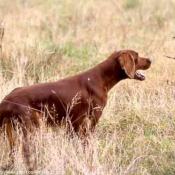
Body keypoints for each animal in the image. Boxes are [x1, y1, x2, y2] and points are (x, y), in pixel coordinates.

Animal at [0, 49, 150, 170]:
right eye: (137, 56)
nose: (151, 60)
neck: (100, 78)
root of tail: (5, 101)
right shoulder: (90, 122)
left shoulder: (73, 125)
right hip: (31, 129)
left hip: (12, 132)